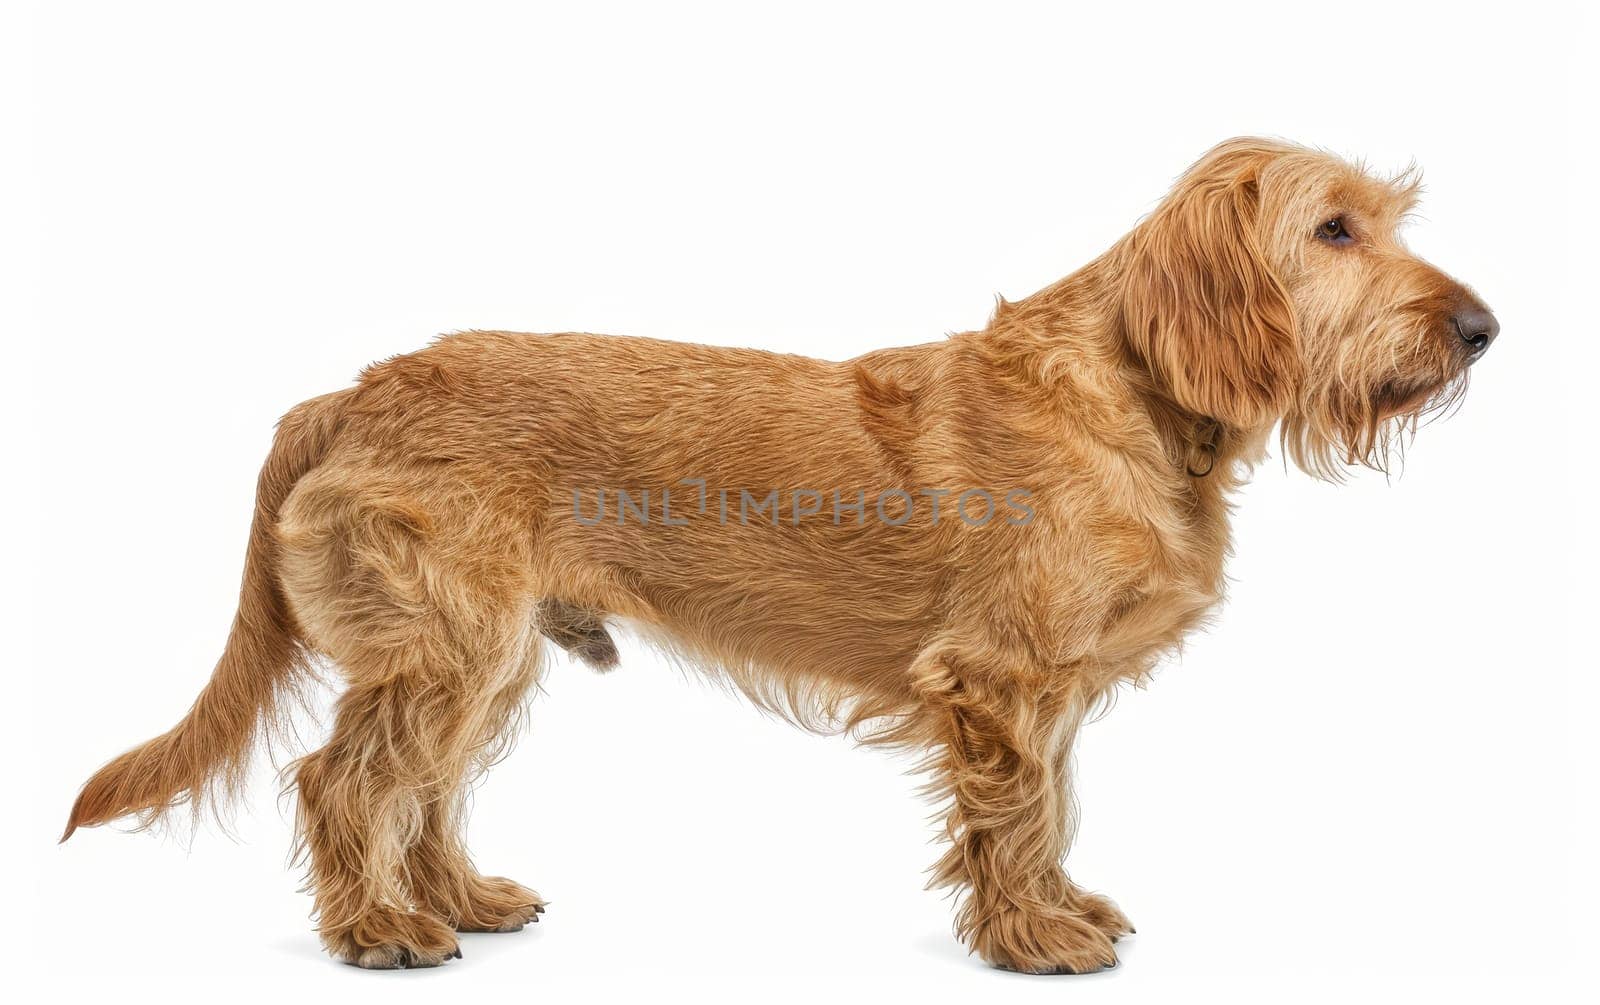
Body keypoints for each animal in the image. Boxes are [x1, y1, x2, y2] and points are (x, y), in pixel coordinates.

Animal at [62, 137, 1491, 966]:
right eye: (1333, 230)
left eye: (1385, 221)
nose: (1481, 329)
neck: (1134, 397)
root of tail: (352, 391)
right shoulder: (1000, 684)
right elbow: (1018, 818)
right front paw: (1032, 938)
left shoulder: (1043, 697)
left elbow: (1051, 810)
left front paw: (1059, 910)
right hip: (443, 652)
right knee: (344, 783)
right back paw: (375, 929)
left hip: (485, 660)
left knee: (420, 791)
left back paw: (453, 901)